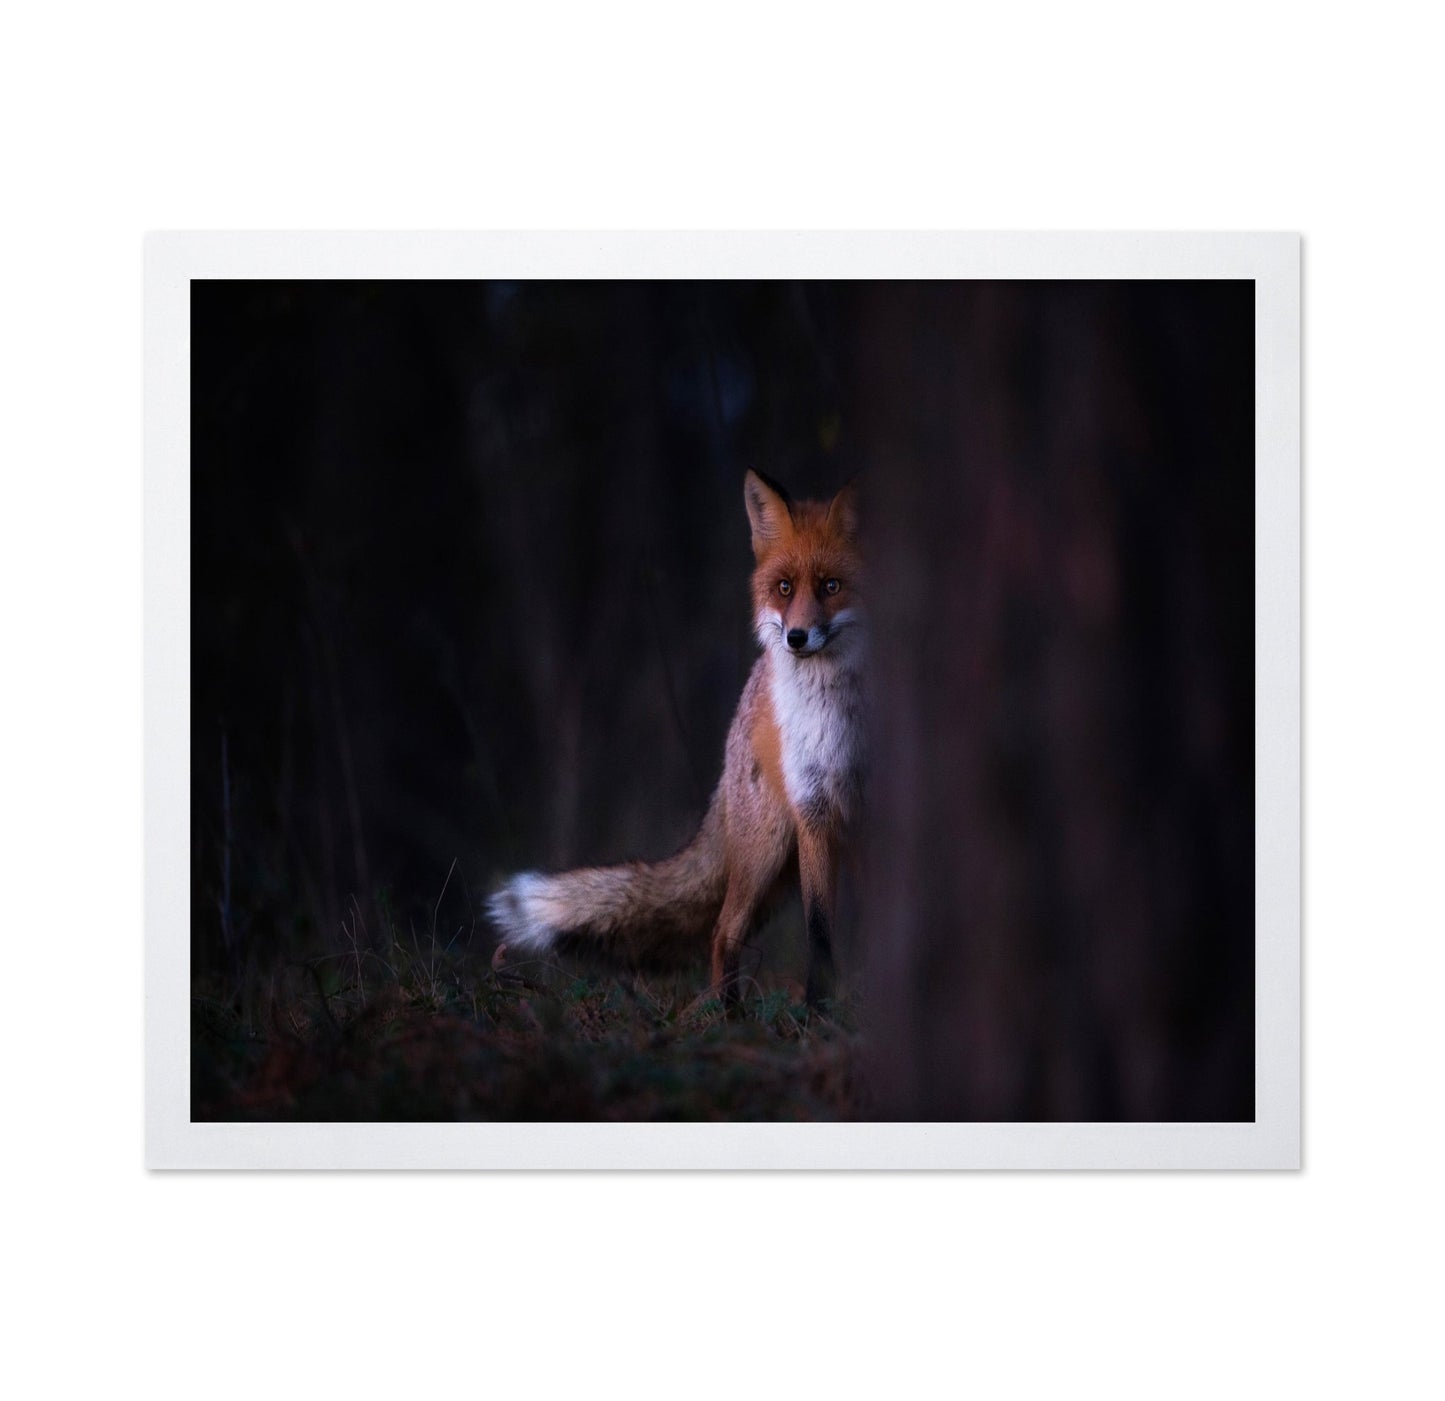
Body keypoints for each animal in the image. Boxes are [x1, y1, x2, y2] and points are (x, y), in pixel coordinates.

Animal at [487, 470, 865, 1006]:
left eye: (832, 586)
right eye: (784, 587)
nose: (796, 637)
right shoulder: (815, 811)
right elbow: (820, 932)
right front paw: (818, 1009)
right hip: (766, 848)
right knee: (723, 932)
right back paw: (727, 1015)